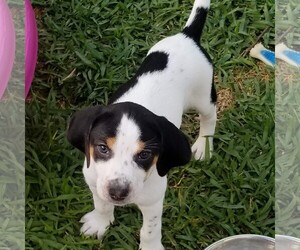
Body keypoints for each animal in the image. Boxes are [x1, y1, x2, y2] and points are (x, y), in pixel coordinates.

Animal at [67, 0, 216, 249]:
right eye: (102, 148)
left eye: (145, 154)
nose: (117, 192)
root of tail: (187, 36)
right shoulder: (95, 181)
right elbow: (101, 204)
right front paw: (100, 222)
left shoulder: (154, 199)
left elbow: (149, 230)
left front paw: (150, 246)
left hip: (203, 95)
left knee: (210, 117)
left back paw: (203, 146)